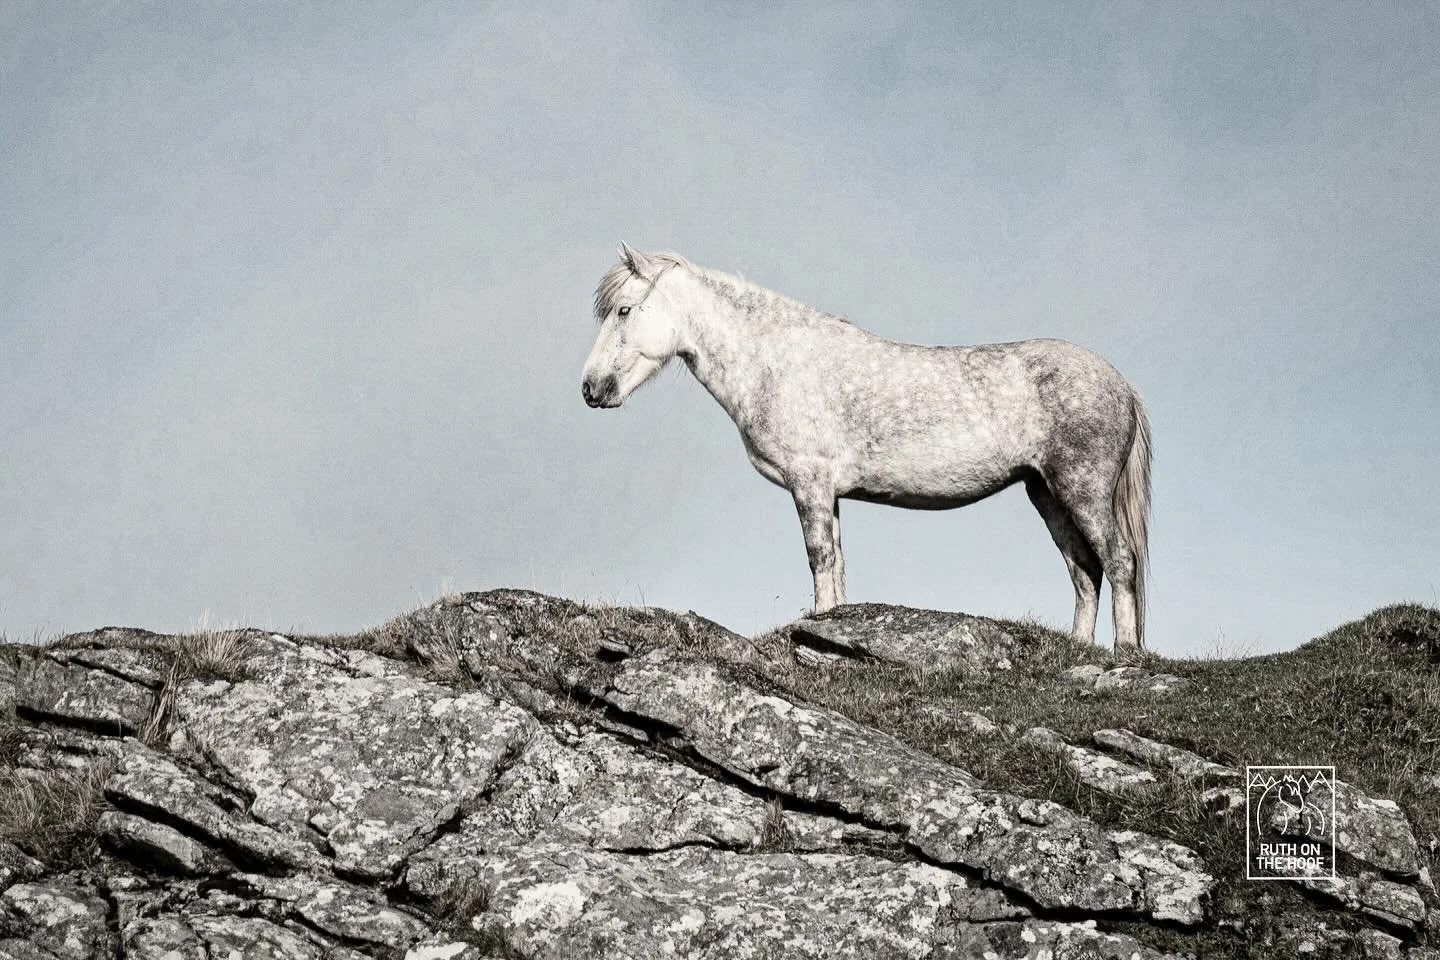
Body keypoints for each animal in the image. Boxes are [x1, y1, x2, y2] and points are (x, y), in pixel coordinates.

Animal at [581, 244, 1153, 652]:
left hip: (1081, 488)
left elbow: (819, 557)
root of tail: (1122, 385)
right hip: (1046, 492)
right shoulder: (828, 493)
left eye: (625, 310)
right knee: (1084, 571)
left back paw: (1123, 655)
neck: (777, 362)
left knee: (1118, 561)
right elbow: (836, 565)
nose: (590, 388)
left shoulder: (809, 483)